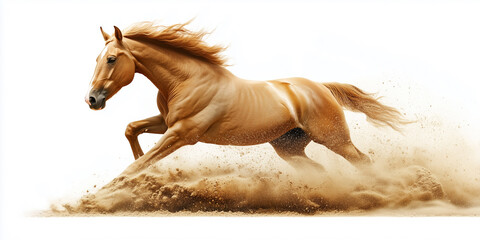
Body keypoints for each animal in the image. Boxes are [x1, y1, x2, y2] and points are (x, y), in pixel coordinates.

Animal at [84, 21, 406, 174]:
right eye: (97, 58)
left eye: (111, 59)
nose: (92, 100)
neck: (187, 82)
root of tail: (321, 87)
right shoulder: (167, 123)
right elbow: (131, 130)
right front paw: (147, 167)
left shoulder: (182, 134)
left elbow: (133, 168)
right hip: (288, 147)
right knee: (318, 169)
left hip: (334, 139)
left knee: (362, 161)